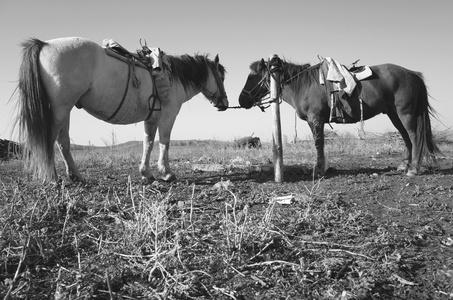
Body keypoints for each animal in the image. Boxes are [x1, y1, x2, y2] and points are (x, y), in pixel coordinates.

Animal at [15, 37, 228, 183]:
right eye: (222, 77)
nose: (224, 104)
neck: (173, 76)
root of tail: (44, 44)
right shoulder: (168, 116)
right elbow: (164, 143)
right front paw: (166, 173)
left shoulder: (151, 119)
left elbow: (148, 144)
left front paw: (146, 173)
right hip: (60, 109)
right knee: (49, 141)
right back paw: (52, 178)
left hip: (64, 111)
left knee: (63, 143)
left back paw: (76, 176)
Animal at [238, 57, 440, 177]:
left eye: (252, 76)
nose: (241, 100)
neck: (303, 84)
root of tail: (413, 74)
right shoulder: (313, 121)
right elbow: (318, 143)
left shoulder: (316, 119)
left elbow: (319, 143)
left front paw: (319, 169)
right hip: (393, 114)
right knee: (406, 137)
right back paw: (404, 166)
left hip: (405, 113)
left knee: (414, 136)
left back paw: (413, 169)